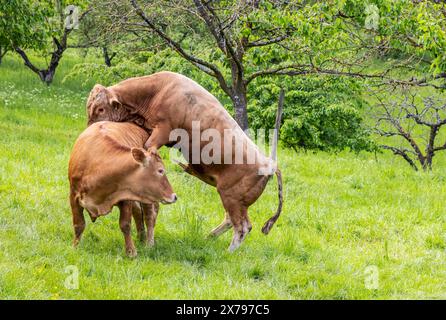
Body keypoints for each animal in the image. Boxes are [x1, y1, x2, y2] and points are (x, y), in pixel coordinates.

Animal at [68, 120, 176, 258]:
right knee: (138, 211)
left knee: (149, 215)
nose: (174, 196)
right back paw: (141, 237)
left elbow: (125, 224)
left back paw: (149, 243)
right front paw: (75, 246)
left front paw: (131, 251)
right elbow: (79, 224)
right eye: (160, 170)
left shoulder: (125, 197)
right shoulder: (73, 195)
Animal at [86, 71, 282, 251]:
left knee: (242, 227)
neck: (157, 90)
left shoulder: (163, 130)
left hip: (231, 197)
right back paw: (209, 237)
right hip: (234, 199)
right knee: (233, 221)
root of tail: (269, 164)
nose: (89, 129)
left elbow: (149, 146)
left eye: (100, 109)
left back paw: (229, 252)